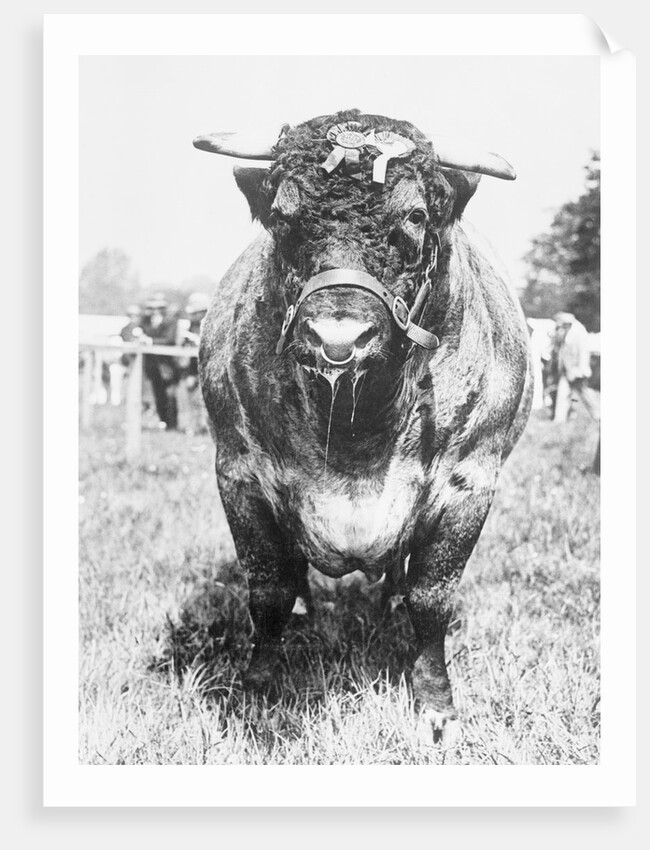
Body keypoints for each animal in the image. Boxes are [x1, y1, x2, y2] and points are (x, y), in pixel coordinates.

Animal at [194, 110, 532, 745]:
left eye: (415, 216)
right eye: (283, 215)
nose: (338, 339)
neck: (360, 430)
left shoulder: (470, 483)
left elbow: (430, 598)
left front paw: (436, 707)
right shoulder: (239, 473)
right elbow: (268, 593)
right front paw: (255, 692)